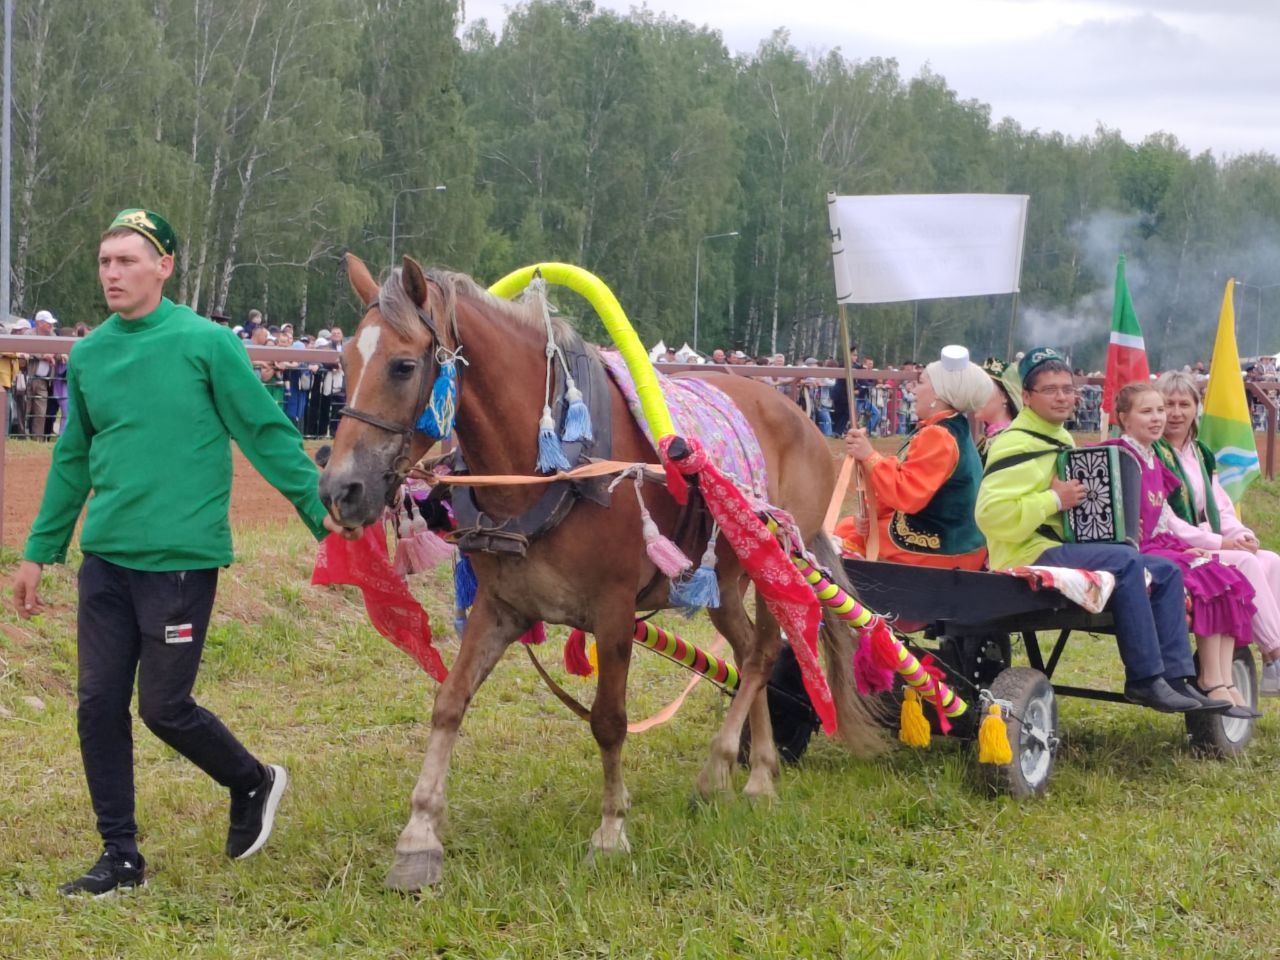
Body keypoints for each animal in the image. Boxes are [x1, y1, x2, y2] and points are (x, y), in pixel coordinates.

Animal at [322, 257, 880, 896]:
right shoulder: (500, 606)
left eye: (403, 365)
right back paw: (754, 770)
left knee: (765, 653)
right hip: (723, 581)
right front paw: (418, 836)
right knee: (747, 655)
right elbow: (449, 703)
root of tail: (800, 416)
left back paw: (731, 769)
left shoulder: (613, 613)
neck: (551, 467)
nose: (340, 489)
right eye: (344, 362)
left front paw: (611, 830)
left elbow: (609, 721)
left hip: (775, 562)